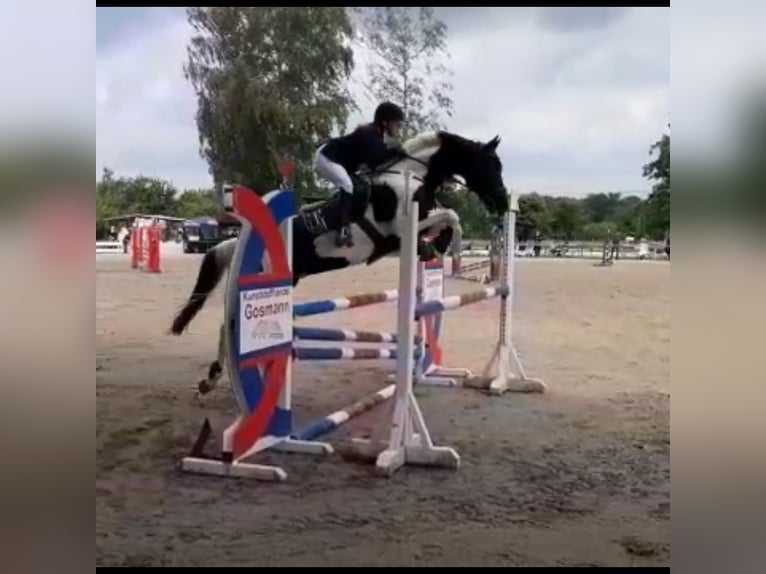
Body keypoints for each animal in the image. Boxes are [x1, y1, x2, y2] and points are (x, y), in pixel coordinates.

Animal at [171, 132, 512, 396]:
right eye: (489, 164)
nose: (503, 201)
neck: (410, 176)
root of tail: (241, 240)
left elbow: (449, 220)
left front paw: (435, 248)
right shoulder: (402, 229)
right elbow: (451, 215)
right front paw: (437, 248)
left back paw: (216, 378)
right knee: (229, 326)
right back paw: (217, 378)